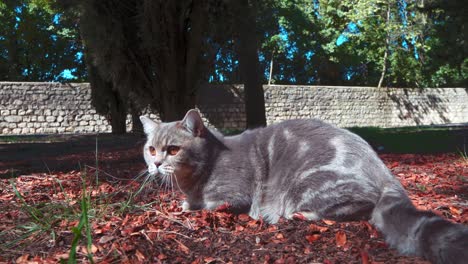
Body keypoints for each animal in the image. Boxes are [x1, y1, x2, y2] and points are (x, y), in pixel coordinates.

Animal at [140, 108, 468, 262]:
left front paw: (188, 206)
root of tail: (383, 169)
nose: (154, 164)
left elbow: (207, 204)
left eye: (173, 149)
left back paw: (300, 214)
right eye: (151, 149)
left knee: (360, 205)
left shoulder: (235, 195)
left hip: (308, 185)